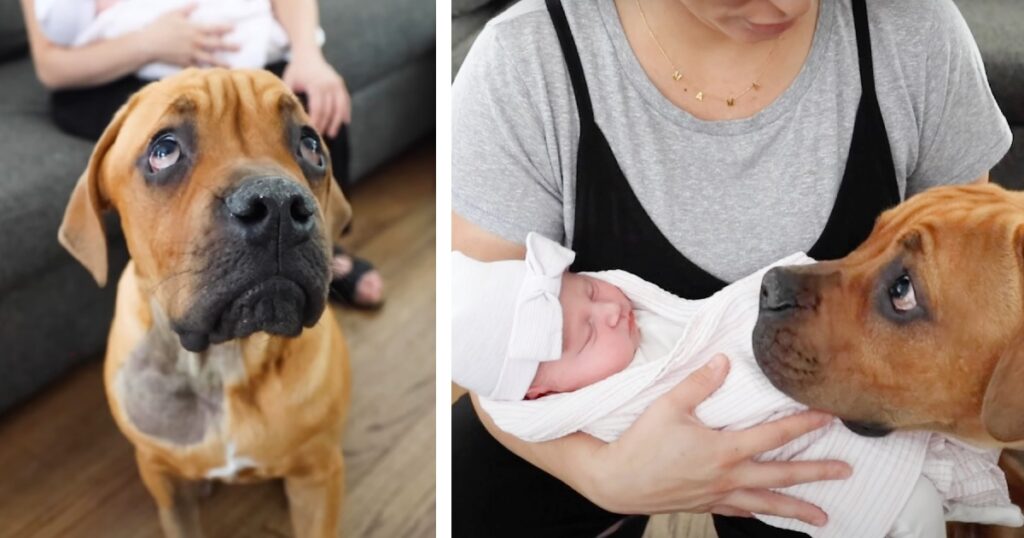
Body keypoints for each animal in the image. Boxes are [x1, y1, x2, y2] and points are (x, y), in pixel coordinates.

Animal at [61, 68, 356, 536]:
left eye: (311, 146)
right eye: (164, 151)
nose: (277, 204)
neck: (224, 362)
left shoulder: (319, 475)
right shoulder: (161, 478)